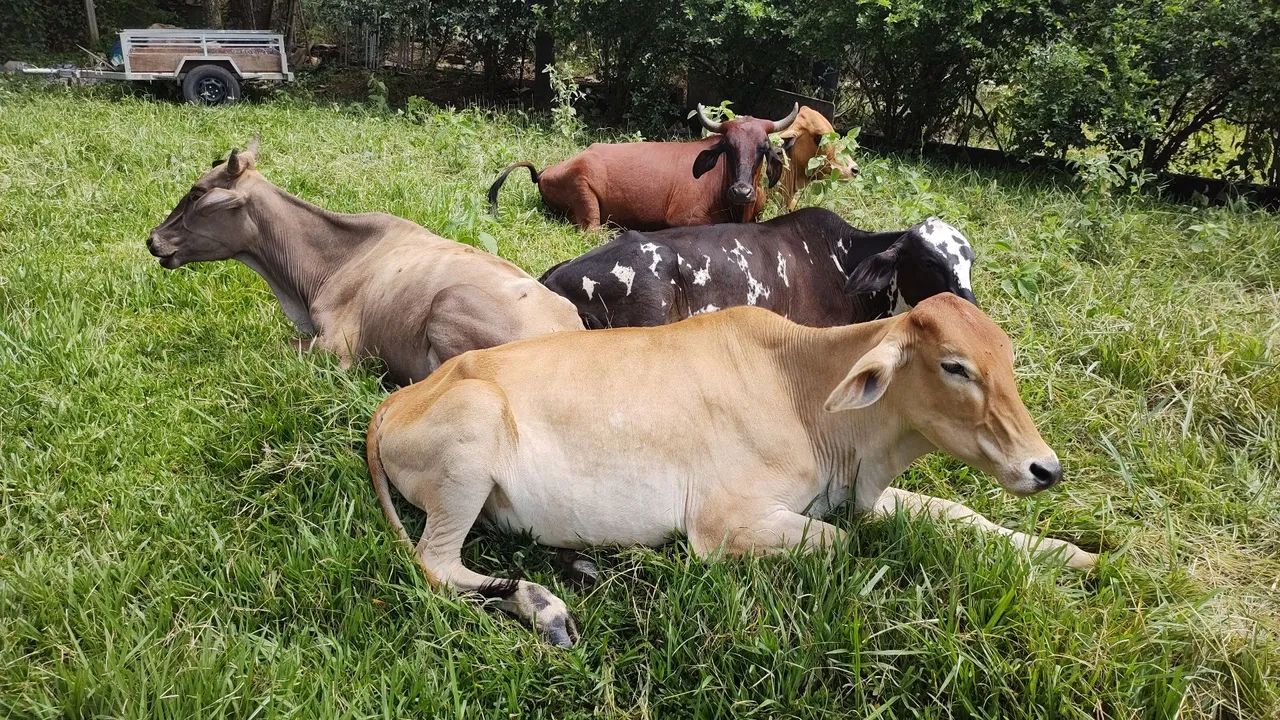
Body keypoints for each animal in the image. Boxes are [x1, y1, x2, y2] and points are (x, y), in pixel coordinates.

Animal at [366, 295, 1098, 647]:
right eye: (955, 366)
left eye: (1007, 357)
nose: (1044, 468)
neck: (805, 392)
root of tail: (392, 404)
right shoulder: (725, 524)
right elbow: (841, 546)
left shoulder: (857, 495)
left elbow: (956, 513)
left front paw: (1073, 555)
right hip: (470, 453)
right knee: (437, 563)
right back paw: (546, 605)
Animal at [487, 104, 801, 231]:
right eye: (728, 147)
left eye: (762, 148)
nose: (741, 191)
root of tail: (545, 171)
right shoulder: (681, 219)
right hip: (585, 196)